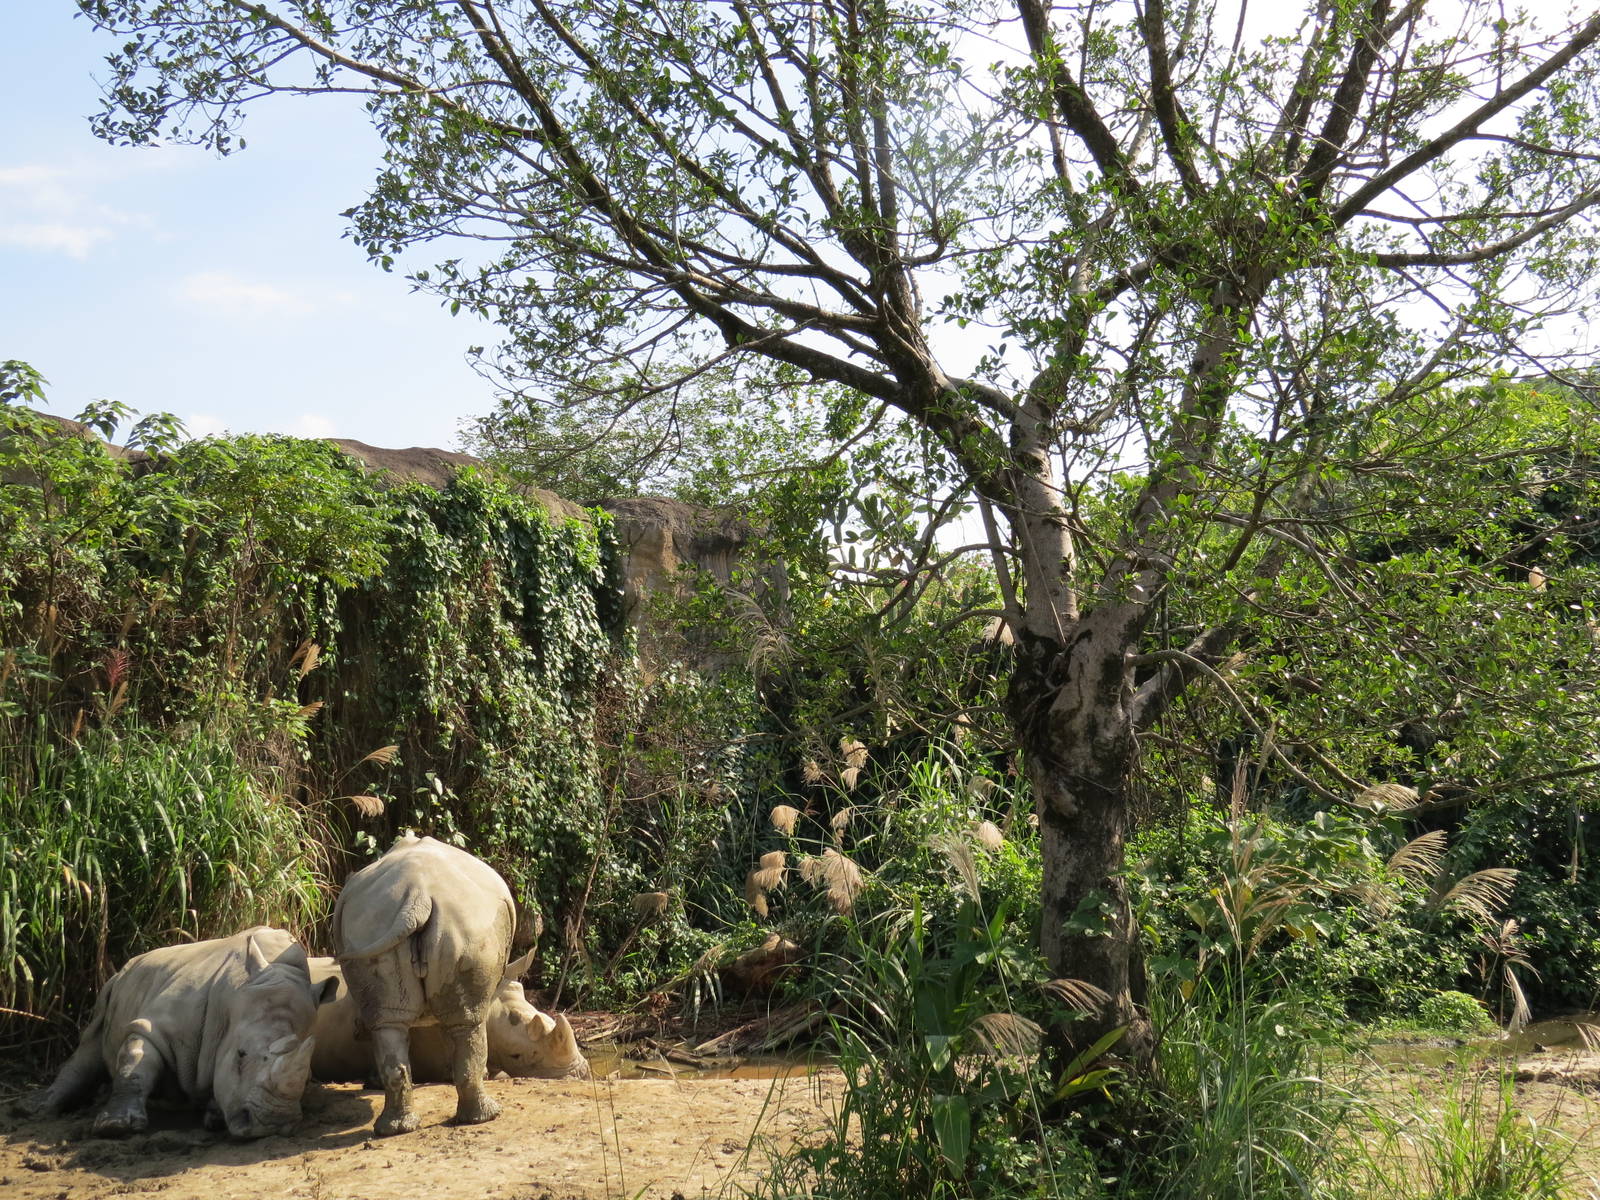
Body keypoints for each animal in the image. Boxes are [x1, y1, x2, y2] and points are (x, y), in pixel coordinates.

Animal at [22, 927, 335, 1139]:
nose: (272, 1124)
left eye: (308, 1076)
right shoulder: (156, 1026)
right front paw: (115, 1127)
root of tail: (127, 965)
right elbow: (135, 1064)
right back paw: (38, 1111)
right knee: (90, 1048)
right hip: (111, 988)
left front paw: (215, 1116)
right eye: (240, 1054)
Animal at [332, 833, 534, 1135]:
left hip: (373, 925)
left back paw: (396, 1129)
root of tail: (417, 896)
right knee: (468, 1022)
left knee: (388, 1022)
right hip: (466, 926)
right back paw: (487, 1116)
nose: (356, 1030)